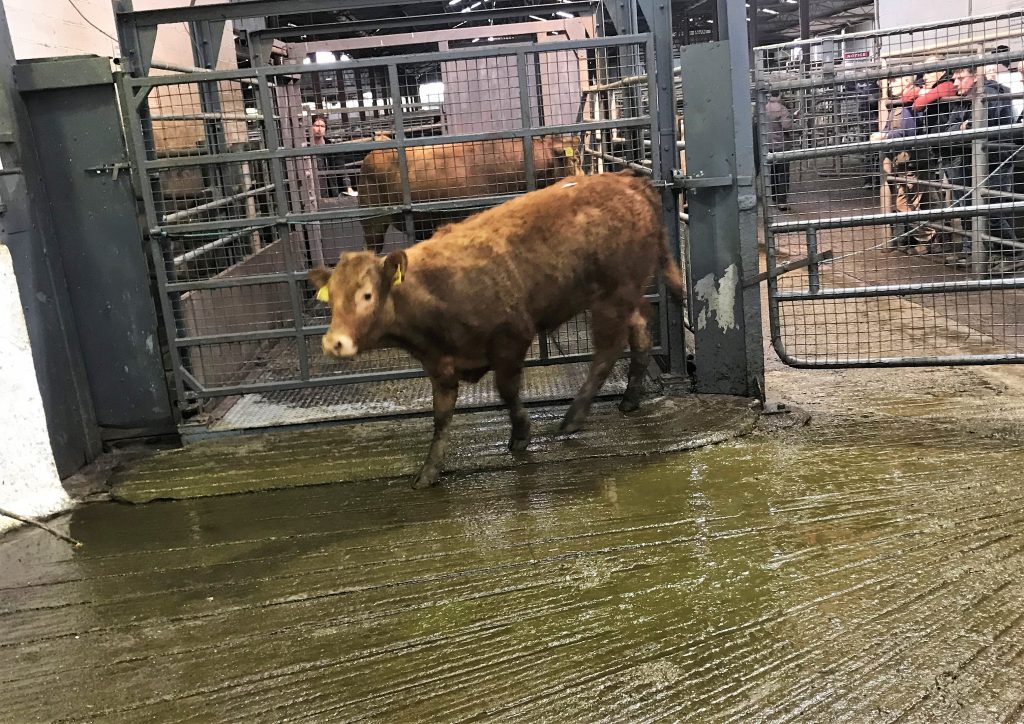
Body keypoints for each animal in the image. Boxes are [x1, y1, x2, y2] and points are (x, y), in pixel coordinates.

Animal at [309, 170, 684, 489]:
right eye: (331, 300)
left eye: (367, 295)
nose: (333, 342)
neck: (433, 289)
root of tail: (627, 179)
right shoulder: (440, 364)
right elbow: (441, 417)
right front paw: (429, 471)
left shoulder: (511, 337)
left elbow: (507, 390)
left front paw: (520, 434)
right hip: (622, 294)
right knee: (639, 328)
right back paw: (630, 398)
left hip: (612, 296)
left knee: (608, 349)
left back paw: (574, 417)